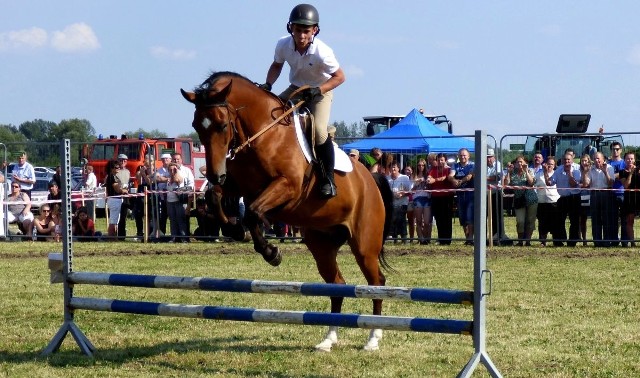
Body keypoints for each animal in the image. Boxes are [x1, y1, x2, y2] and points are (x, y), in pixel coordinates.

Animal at [178, 71, 392, 352]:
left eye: (222, 125)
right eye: (196, 125)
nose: (214, 174)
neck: (262, 134)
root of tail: (370, 178)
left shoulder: (286, 187)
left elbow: (252, 212)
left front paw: (271, 252)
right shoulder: (238, 185)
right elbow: (214, 196)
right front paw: (236, 230)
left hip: (365, 245)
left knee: (376, 283)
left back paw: (374, 337)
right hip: (322, 243)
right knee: (337, 285)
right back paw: (328, 339)